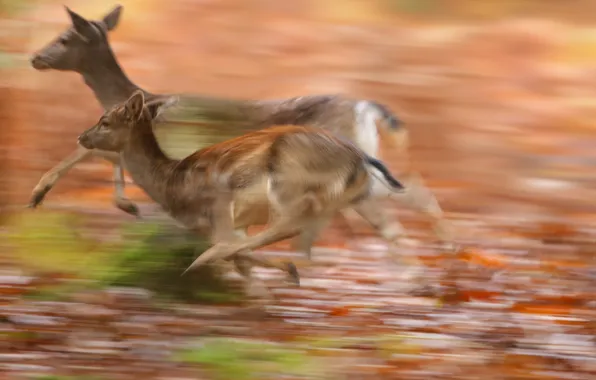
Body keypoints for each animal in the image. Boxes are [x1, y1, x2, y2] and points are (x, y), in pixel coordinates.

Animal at [28, 3, 456, 264]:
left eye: (64, 37)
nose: (35, 57)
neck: (146, 100)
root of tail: (369, 107)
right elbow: (107, 154)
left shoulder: (177, 152)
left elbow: (100, 152)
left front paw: (40, 194)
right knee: (412, 191)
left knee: (397, 203)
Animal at [77, 90, 406, 300]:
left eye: (105, 121)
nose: (82, 136)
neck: (172, 182)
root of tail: (360, 157)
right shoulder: (238, 222)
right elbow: (242, 257)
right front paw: (264, 289)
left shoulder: (220, 204)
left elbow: (233, 249)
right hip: (341, 198)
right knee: (309, 235)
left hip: (288, 182)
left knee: (288, 227)